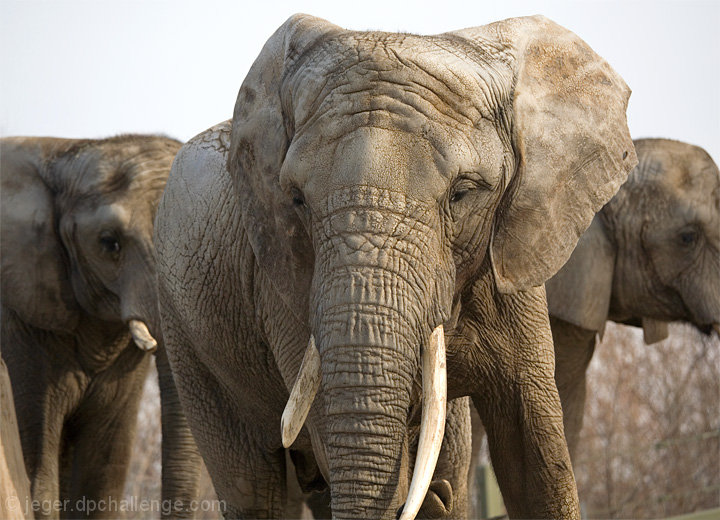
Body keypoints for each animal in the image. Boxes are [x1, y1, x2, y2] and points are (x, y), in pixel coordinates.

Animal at [153, 13, 636, 520]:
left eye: (463, 193)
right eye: (297, 200)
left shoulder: (514, 249)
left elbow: (536, 452)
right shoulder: (285, 280)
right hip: (187, 337)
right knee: (253, 487)